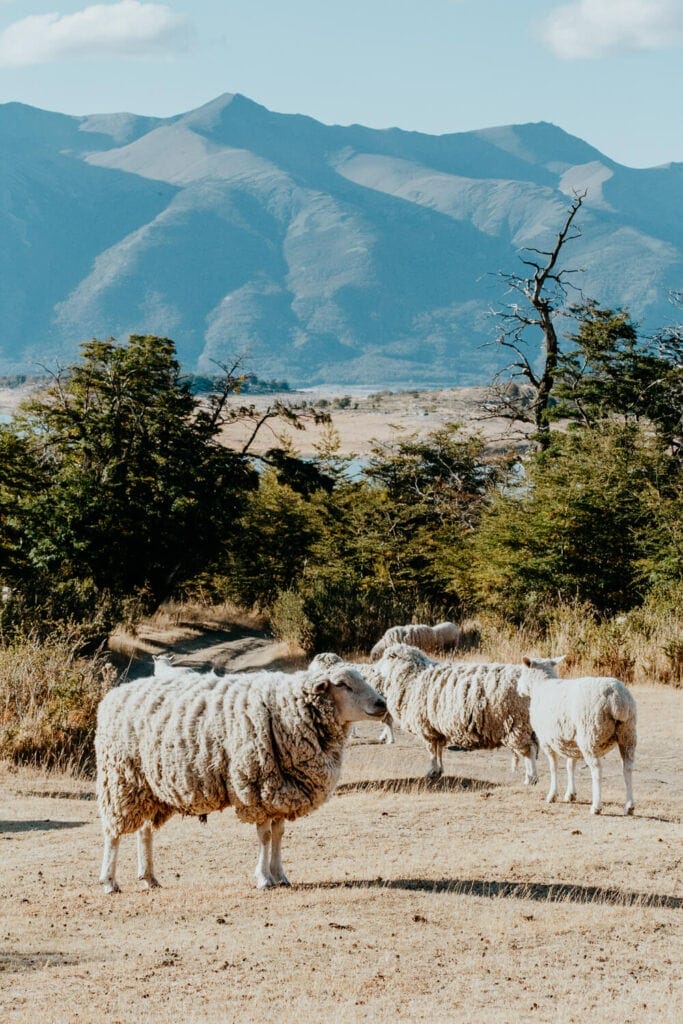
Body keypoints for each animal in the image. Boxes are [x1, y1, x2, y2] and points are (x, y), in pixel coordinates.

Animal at [95, 663, 387, 893]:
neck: (288, 710)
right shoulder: (258, 787)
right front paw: (264, 878)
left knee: (143, 831)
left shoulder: (280, 789)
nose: (382, 704)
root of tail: (115, 695)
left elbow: (279, 833)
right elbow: (265, 836)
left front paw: (280, 875)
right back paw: (109, 881)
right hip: (119, 779)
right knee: (113, 833)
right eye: (343, 685)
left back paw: (149, 878)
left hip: (147, 787)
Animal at [373, 643, 564, 782]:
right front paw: (439, 770)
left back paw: (531, 778)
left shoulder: (427, 727)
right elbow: (439, 750)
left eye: (387, 657)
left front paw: (432, 772)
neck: (412, 677)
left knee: (528, 750)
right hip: (528, 725)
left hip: (517, 723)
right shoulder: (436, 728)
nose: (373, 669)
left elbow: (432, 751)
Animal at [518, 657, 637, 816]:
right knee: (627, 767)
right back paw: (629, 806)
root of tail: (616, 698)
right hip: (628, 734)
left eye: (523, 672)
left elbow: (553, 767)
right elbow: (570, 765)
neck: (541, 685)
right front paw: (570, 794)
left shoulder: (546, 741)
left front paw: (552, 795)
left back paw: (596, 806)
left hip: (589, 735)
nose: (518, 689)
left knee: (597, 769)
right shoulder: (571, 741)